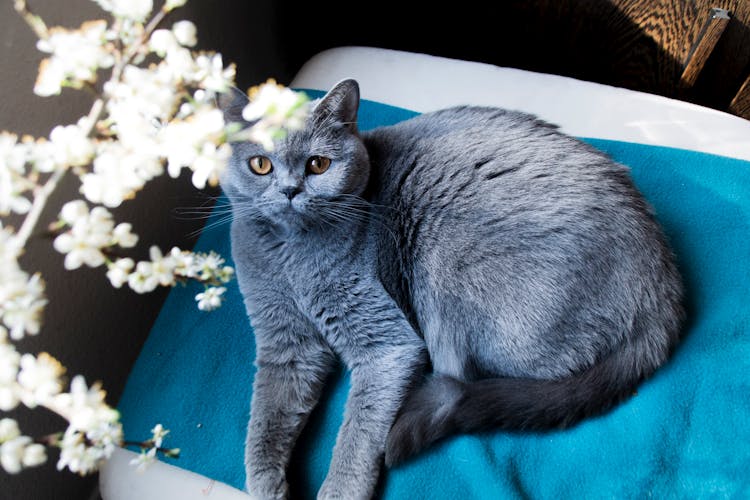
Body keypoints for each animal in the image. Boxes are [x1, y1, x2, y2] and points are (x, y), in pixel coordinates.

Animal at [219, 80, 688, 498]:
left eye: (318, 164)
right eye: (260, 164)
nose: (290, 190)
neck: (293, 260)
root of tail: (664, 290)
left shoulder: (387, 345)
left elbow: (357, 430)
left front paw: (339, 491)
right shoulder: (286, 346)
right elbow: (265, 419)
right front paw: (267, 488)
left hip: (450, 270)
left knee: (483, 375)